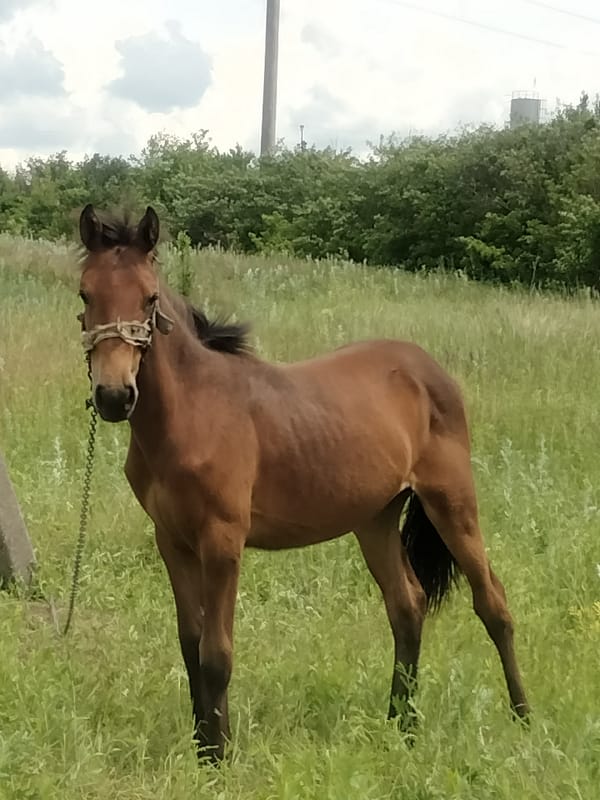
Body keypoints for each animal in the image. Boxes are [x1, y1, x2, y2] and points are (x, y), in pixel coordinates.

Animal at [76, 204, 529, 762]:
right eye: (85, 294)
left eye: (150, 297)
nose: (115, 396)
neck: (191, 412)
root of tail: (428, 368)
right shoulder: (172, 541)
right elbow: (189, 644)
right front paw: (202, 748)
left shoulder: (223, 541)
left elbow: (216, 653)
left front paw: (221, 757)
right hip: (376, 518)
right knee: (407, 605)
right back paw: (401, 726)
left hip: (452, 503)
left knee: (493, 603)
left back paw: (523, 719)